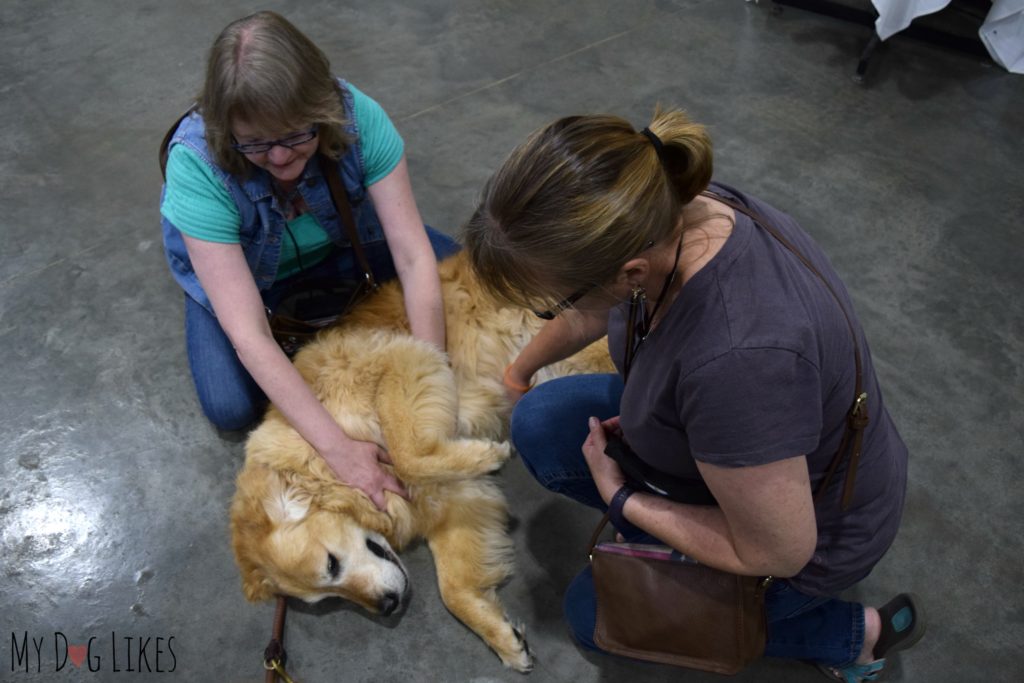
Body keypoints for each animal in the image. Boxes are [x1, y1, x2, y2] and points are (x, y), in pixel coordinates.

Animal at [231, 250, 610, 671]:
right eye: (328, 596)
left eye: (331, 564)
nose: (388, 606)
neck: (326, 459)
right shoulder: (456, 498)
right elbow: (452, 589)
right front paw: (502, 637)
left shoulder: (401, 358)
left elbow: (407, 454)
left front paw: (489, 454)